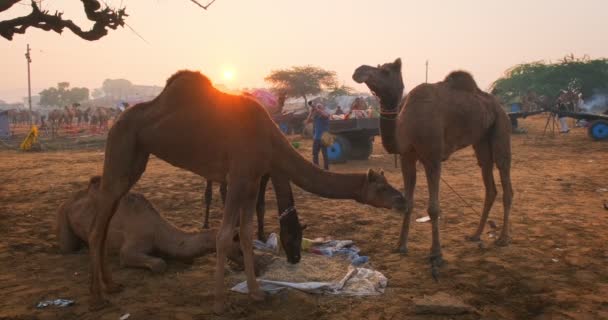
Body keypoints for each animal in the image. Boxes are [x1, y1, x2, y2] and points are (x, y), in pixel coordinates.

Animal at [88, 70, 406, 312]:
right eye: (382, 187)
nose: (402, 200)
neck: (271, 138)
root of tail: (116, 121)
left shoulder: (252, 181)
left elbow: (247, 232)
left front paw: (257, 294)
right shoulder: (239, 176)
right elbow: (224, 234)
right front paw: (219, 303)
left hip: (136, 159)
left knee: (108, 218)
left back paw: (111, 285)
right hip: (120, 147)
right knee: (98, 223)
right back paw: (98, 298)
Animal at [352, 58, 512, 278]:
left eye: (385, 71)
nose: (359, 71)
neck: (408, 126)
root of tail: (498, 104)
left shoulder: (433, 157)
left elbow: (434, 208)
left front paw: (436, 255)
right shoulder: (407, 157)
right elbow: (408, 202)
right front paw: (400, 246)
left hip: (501, 125)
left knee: (504, 174)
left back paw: (503, 238)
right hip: (481, 139)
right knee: (489, 181)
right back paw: (475, 234)